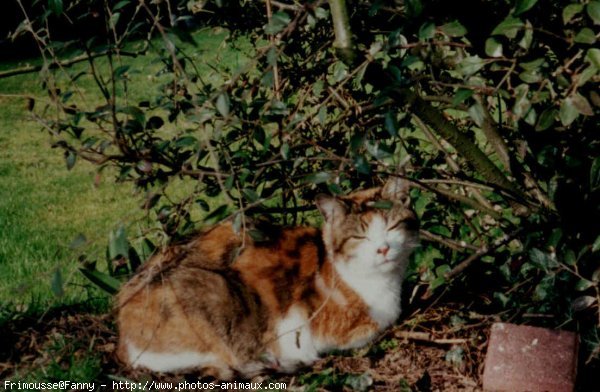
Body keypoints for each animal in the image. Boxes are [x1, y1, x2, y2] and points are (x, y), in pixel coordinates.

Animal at [116, 178, 418, 380]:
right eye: (360, 236)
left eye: (391, 226)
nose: (383, 249)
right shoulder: (298, 325)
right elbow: (365, 331)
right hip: (214, 290)